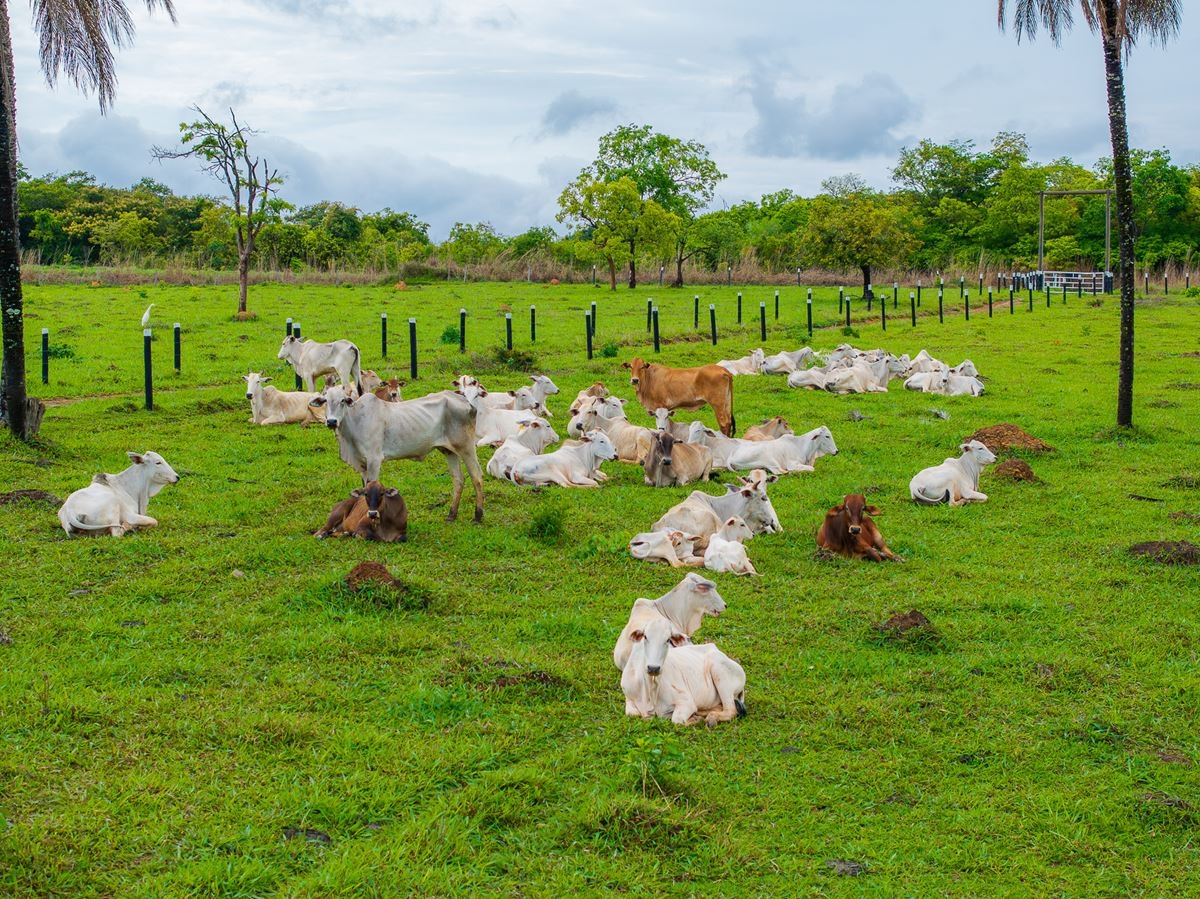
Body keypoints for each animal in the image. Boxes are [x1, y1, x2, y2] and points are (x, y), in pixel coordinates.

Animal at [312, 381, 484, 523]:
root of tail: (467, 402)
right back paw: (451, 515)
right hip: (449, 451)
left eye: (342, 400)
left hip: (466, 447)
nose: (331, 421)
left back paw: (478, 515)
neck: (355, 420)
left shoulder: (374, 460)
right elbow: (363, 488)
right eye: (325, 401)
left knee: (477, 476)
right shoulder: (362, 464)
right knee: (458, 479)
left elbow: (372, 484)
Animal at [619, 619, 748, 724]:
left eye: (668, 640)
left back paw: (711, 718)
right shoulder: (628, 697)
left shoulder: (686, 701)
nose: (653, 668)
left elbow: (677, 719)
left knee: (731, 710)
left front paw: (694, 719)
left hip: (721, 674)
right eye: (645, 636)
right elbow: (632, 714)